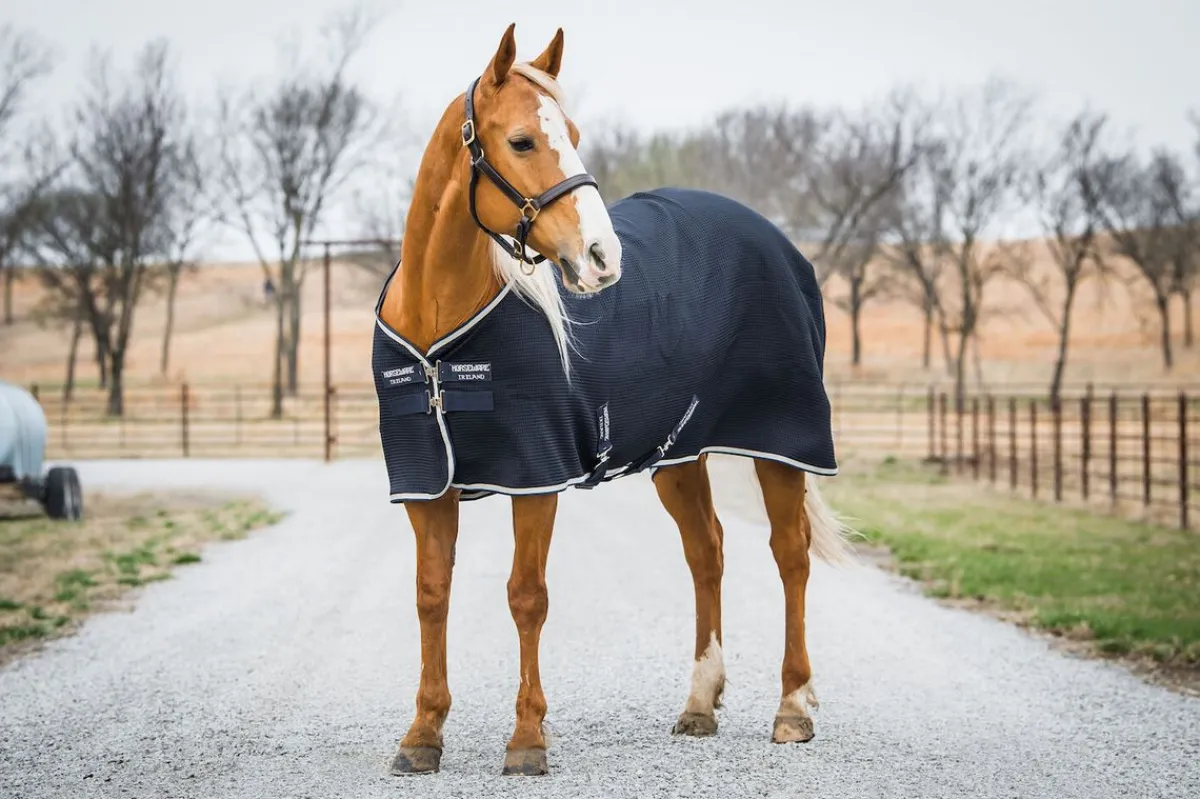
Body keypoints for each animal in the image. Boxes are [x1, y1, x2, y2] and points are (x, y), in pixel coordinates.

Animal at [372, 23, 855, 777]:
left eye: (571, 132)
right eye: (522, 141)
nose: (602, 257)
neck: (438, 324)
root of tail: (777, 241)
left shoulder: (536, 477)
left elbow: (527, 597)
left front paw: (527, 740)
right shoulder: (427, 484)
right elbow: (430, 596)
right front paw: (422, 735)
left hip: (782, 442)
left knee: (791, 555)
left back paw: (794, 708)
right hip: (680, 453)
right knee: (707, 552)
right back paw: (699, 703)